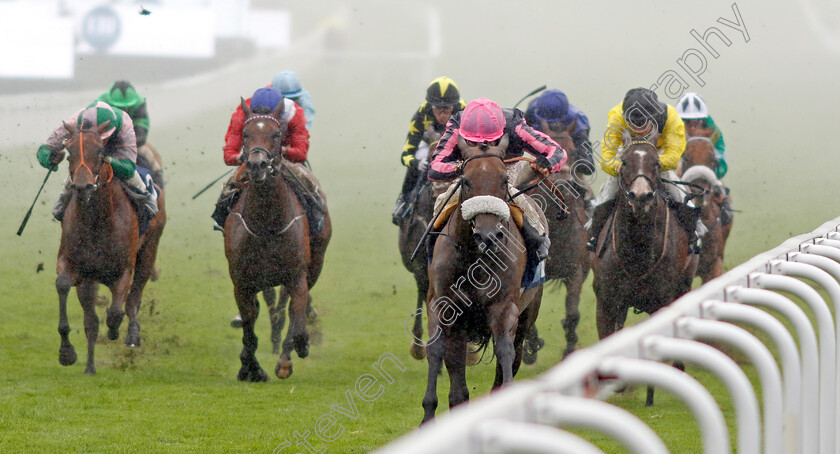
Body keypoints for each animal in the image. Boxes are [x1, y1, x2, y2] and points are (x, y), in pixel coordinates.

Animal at [54, 119, 166, 374]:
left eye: (100, 152)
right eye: (69, 153)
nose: (82, 187)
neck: (98, 221)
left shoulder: (124, 269)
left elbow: (116, 311)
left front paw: (115, 330)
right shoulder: (76, 268)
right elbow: (64, 286)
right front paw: (67, 352)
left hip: (149, 252)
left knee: (135, 298)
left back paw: (132, 334)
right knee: (93, 320)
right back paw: (90, 366)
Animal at [226, 100, 332, 384]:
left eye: (276, 134)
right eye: (245, 134)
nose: (257, 165)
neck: (266, 224)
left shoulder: (297, 276)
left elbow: (296, 317)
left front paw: (291, 353)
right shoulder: (242, 281)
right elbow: (249, 325)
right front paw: (250, 368)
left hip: (315, 264)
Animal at [420, 137, 544, 422]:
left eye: (504, 180)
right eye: (465, 180)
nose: (488, 235)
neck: (473, 258)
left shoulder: (504, 307)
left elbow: (505, 350)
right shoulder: (443, 306)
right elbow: (436, 350)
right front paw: (428, 415)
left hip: (528, 314)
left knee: (514, 352)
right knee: (458, 385)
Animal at [520, 119, 592, 360]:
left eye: (574, 151)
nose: (562, 184)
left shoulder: (576, 270)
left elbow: (572, 314)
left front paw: (569, 349)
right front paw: (532, 347)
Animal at [592, 140, 700, 338]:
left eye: (656, 163)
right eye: (624, 162)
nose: (641, 196)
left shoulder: (662, 301)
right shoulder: (606, 304)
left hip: (684, 287)